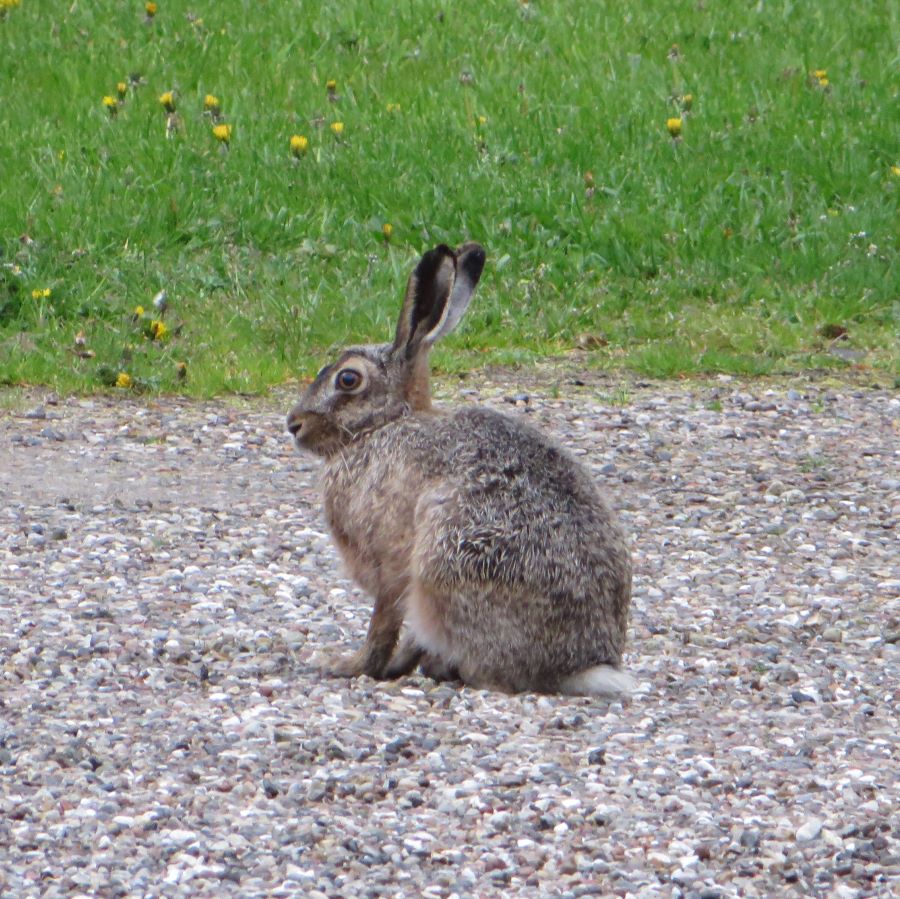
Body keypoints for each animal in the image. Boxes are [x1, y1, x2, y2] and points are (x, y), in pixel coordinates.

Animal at [286, 242, 633, 695]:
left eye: (348, 380)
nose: (294, 424)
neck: (384, 425)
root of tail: (580, 665)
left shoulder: (392, 564)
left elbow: (383, 623)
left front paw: (347, 665)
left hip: (447, 564)